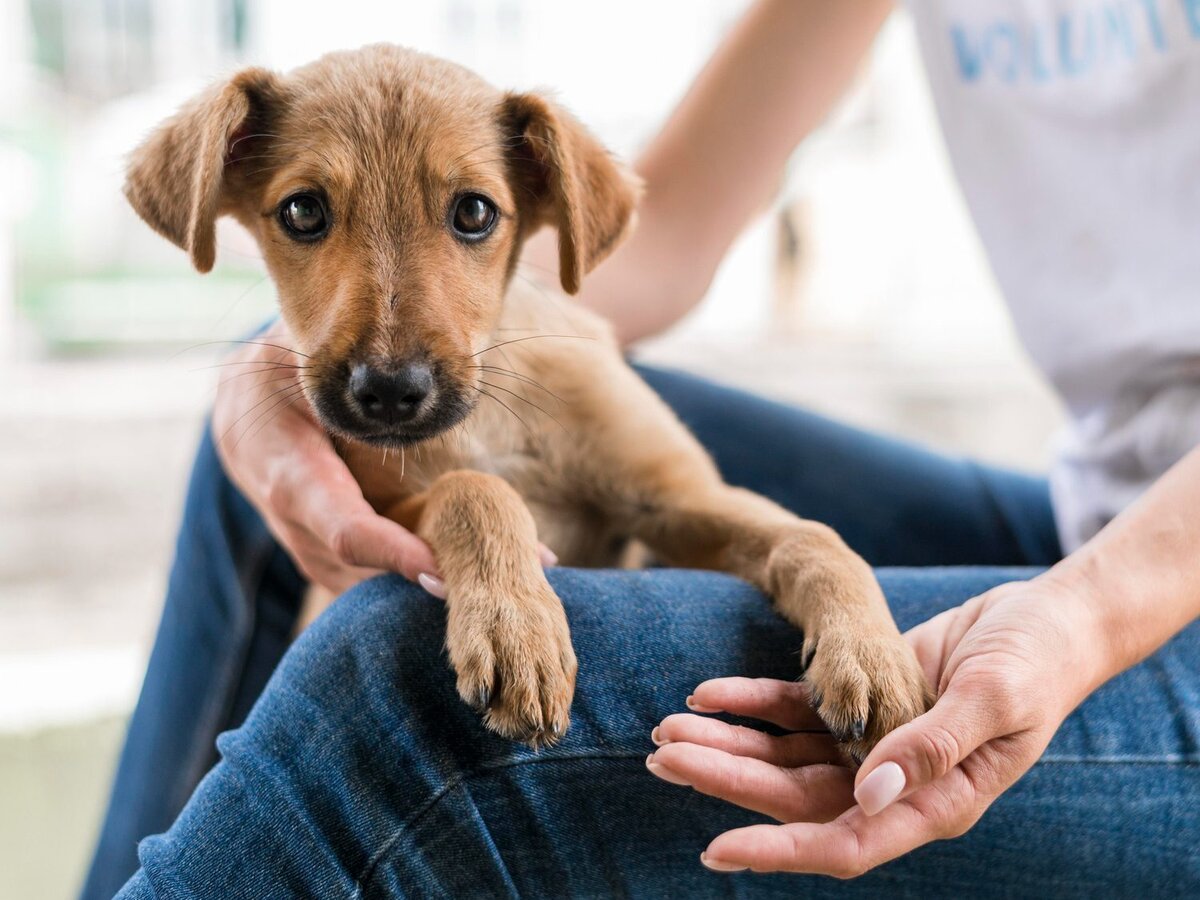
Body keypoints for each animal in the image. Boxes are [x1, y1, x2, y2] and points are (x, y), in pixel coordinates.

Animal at [124, 44, 926, 763]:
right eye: (302, 211)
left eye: (475, 212)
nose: (389, 393)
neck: (492, 415)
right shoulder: (382, 511)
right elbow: (473, 490)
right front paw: (518, 629)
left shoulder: (678, 500)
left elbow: (814, 538)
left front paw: (873, 654)